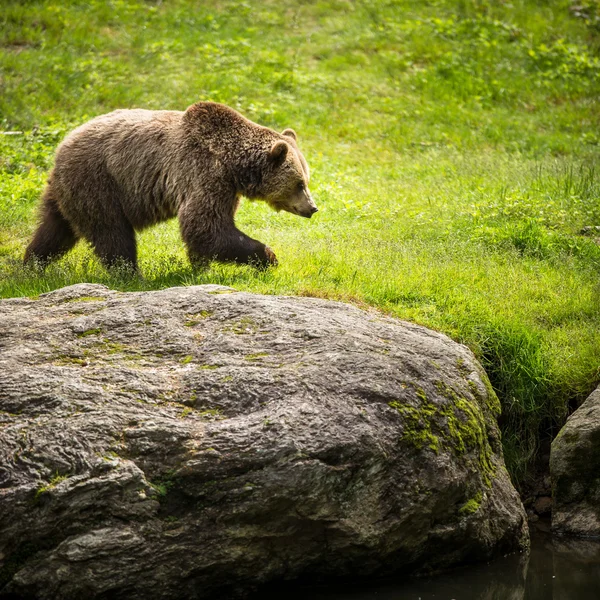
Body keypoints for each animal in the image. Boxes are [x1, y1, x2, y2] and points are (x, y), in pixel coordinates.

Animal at [22, 102, 316, 270]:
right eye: (299, 183)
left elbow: (207, 230)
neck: (233, 164)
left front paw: (200, 266)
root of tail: (63, 144)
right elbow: (204, 226)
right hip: (99, 181)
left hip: (66, 190)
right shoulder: (203, 173)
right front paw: (268, 256)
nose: (313, 208)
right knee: (111, 233)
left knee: (54, 229)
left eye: (306, 179)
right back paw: (129, 274)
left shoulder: (226, 187)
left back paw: (32, 264)